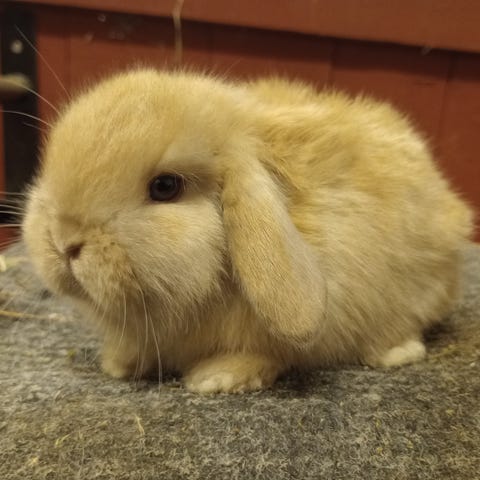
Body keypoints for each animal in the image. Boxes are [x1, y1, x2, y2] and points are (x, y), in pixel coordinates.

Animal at [22, 68, 474, 393]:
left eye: (165, 187)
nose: (64, 241)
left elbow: (258, 355)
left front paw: (214, 379)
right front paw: (118, 363)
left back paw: (394, 353)